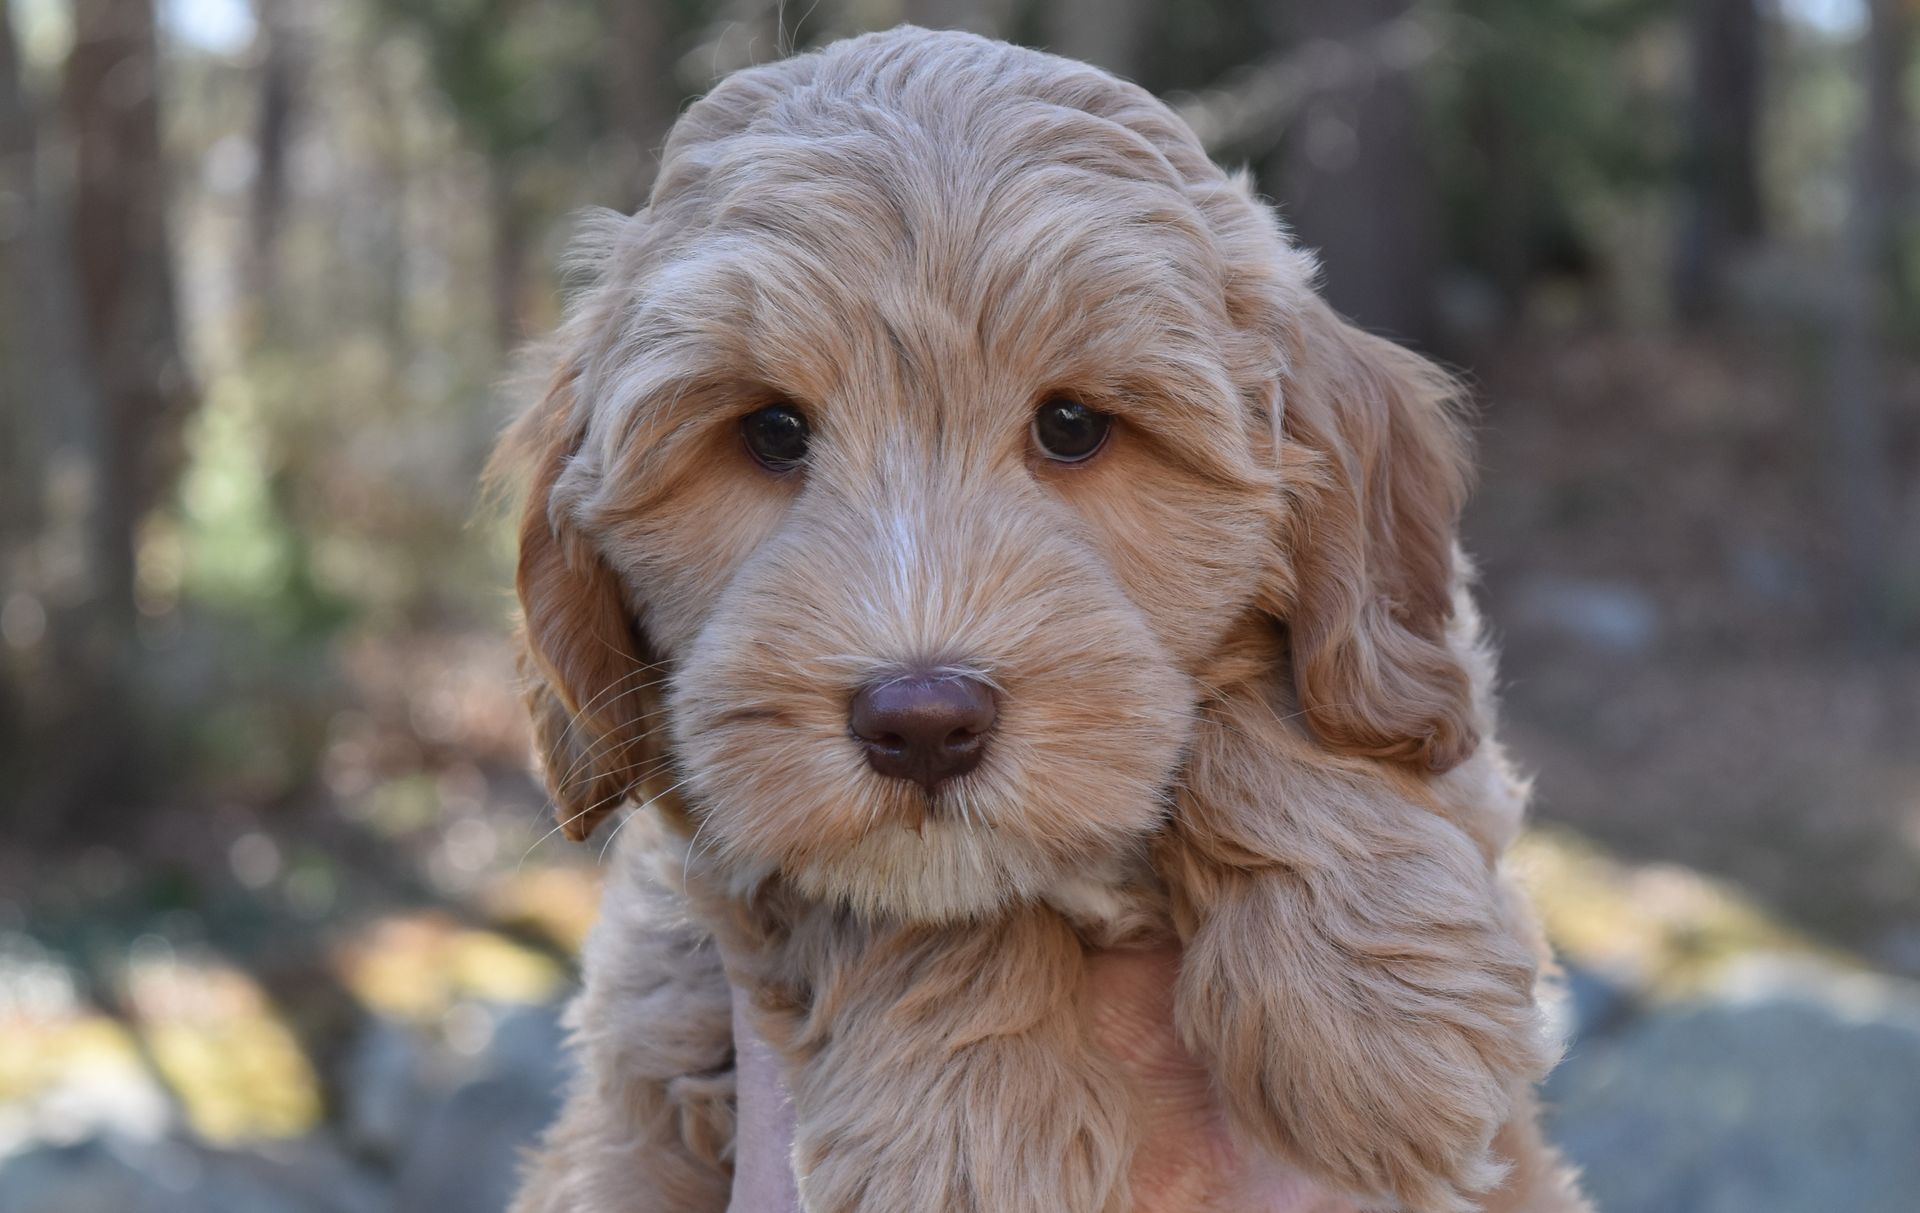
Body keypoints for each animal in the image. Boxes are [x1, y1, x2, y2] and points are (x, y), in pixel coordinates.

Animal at [496, 26, 1592, 1213]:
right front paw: (960, 1129)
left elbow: (1279, 709)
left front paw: (1382, 1008)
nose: (923, 721)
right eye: (773, 432)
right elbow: (894, 904)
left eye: (1071, 424)